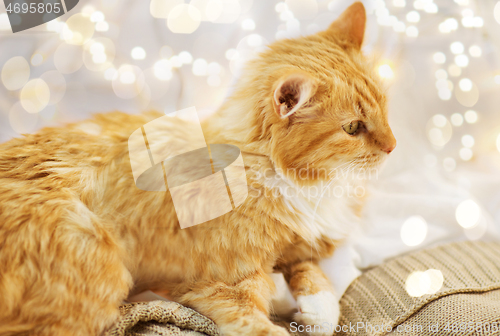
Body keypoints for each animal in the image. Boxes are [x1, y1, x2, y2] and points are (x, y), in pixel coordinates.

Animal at [0, 3, 396, 336]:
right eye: (353, 128)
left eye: (384, 109)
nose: (393, 147)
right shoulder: (221, 281)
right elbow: (256, 322)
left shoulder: (296, 244)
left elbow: (313, 276)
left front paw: (317, 311)